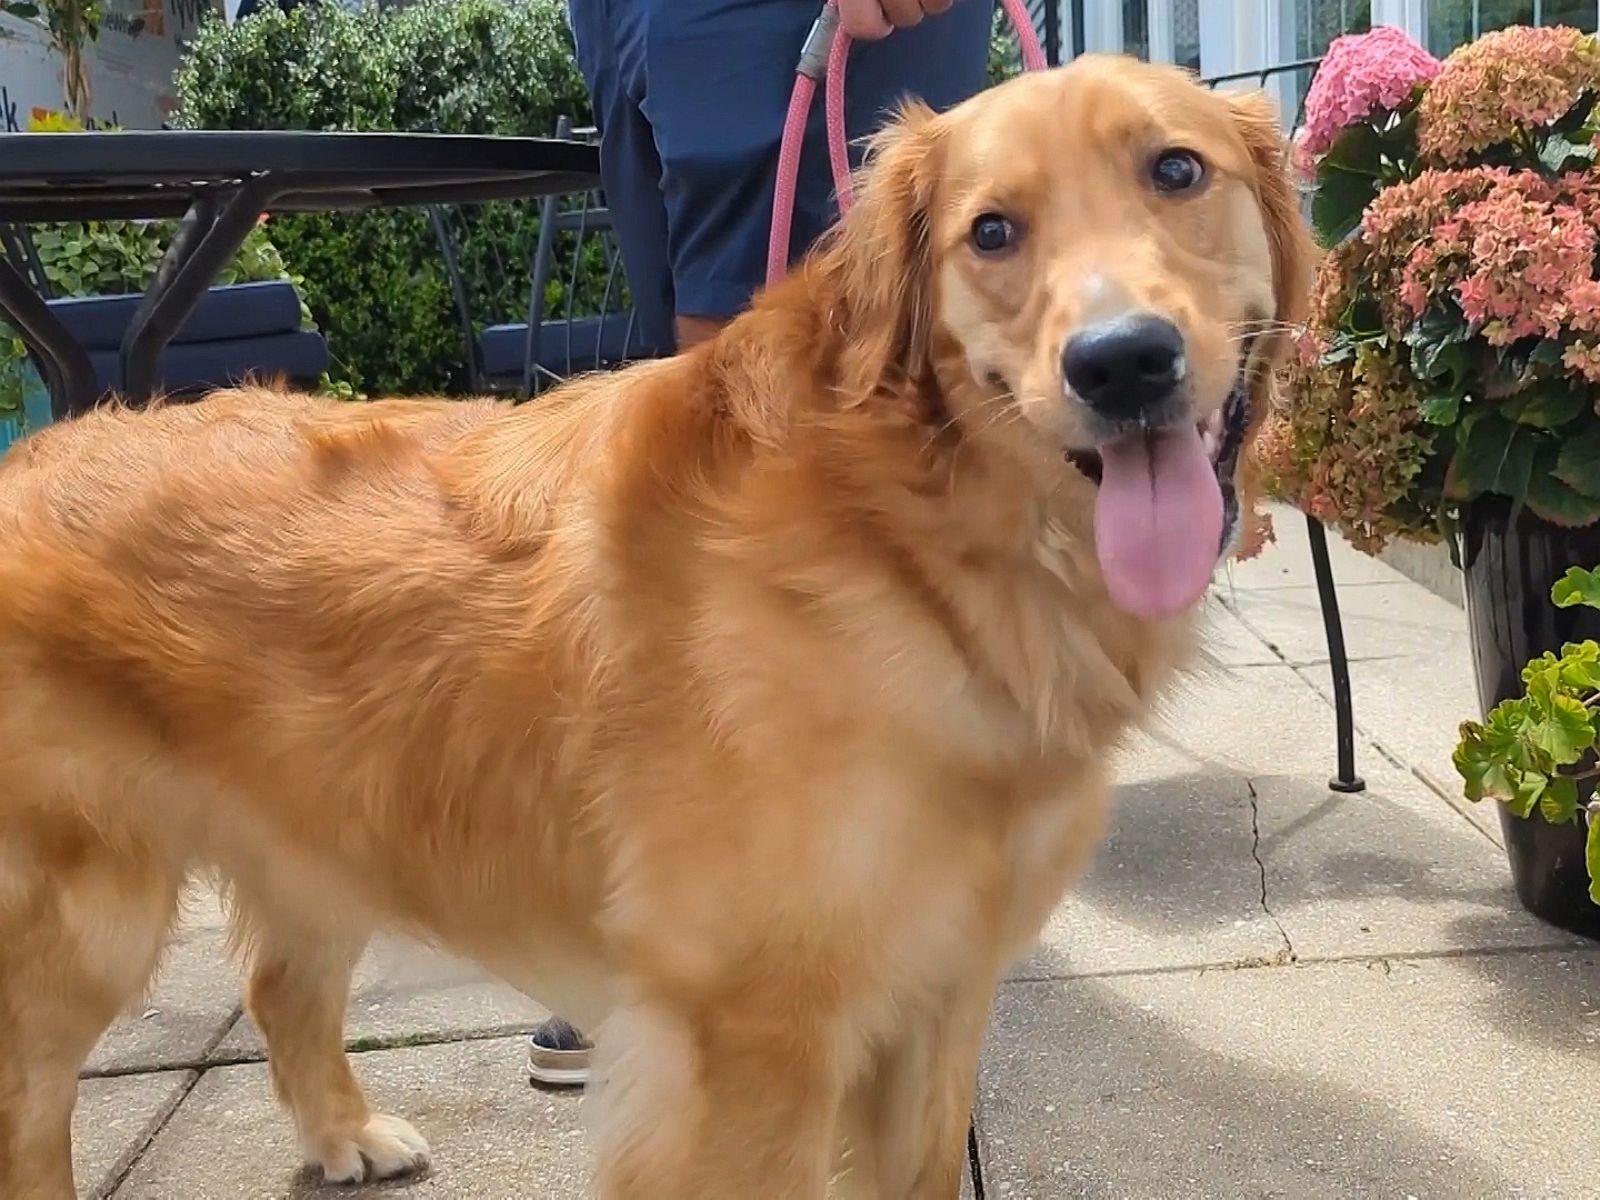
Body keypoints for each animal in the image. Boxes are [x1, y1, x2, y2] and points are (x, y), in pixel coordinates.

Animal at [0, 56, 1299, 1200]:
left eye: (1176, 170)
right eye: (991, 232)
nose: (1123, 363)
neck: (914, 549)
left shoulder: (938, 993)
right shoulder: (748, 1037)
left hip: (319, 824)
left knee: (280, 982)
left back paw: (345, 1135)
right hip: (82, 924)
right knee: (31, 1104)